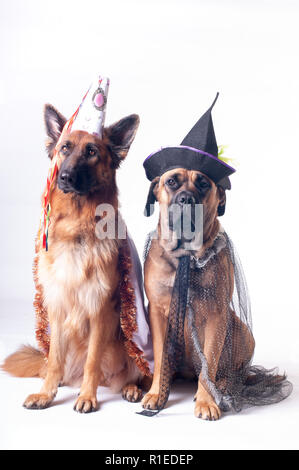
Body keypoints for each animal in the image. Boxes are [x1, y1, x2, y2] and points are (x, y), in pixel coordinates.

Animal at [0, 103, 149, 412]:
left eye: (91, 151)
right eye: (64, 148)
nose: (65, 177)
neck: (76, 228)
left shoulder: (100, 310)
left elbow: (93, 360)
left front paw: (87, 397)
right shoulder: (57, 307)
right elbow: (55, 358)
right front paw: (46, 393)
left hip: (129, 342)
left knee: (134, 372)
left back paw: (130, 388)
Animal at [141, 170, 255, 422]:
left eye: (203, 183)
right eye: (171, 182)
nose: (186, 199)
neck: (185, 254)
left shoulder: (217, 316)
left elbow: (209, 362)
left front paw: (206, 401)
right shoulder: (156, 312)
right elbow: (160, 355)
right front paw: (156, 393)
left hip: (242, 331)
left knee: (233, 373)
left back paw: (223, 386)